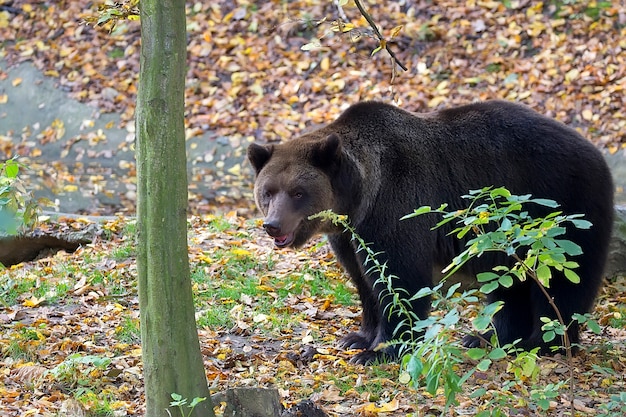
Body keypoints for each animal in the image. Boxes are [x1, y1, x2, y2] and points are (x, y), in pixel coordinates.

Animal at [245, 101, 608, 364]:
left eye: (298, 193)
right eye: (268, 191)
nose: (273, 225)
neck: (359, 197)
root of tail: (595, 150)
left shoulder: (397, 206)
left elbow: (400, 278)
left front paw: (381, 351)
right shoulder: (349, 234)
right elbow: (363, 279)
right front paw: (357, 337)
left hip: (558, 209)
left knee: (564, 281)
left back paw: (546, 344)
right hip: (505, 233)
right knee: (507, 283)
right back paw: (488, 337)